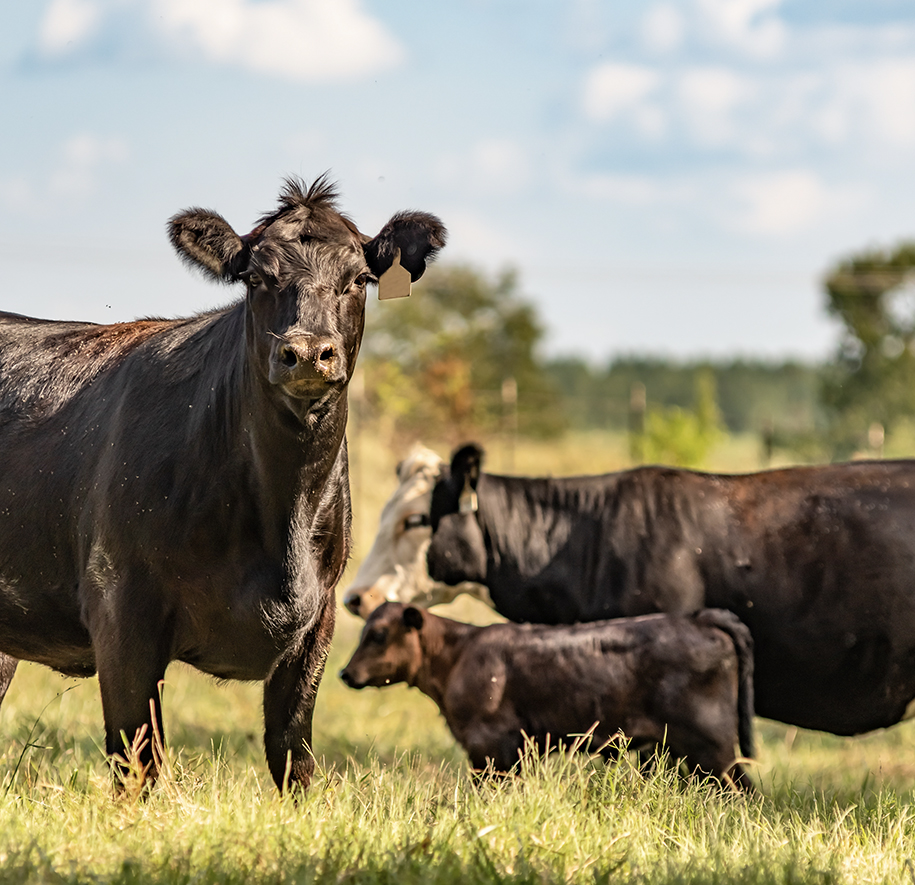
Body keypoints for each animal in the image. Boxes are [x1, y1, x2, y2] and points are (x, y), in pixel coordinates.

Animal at [0, 176, 448, 792]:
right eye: (256, 278)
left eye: (359, 278)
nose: (307, 352)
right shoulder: (120, 609)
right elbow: (138, 762)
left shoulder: (318, 621)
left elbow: (294, 759)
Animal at [340, 600, 756, 788]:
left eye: (378, 635)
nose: (345, 673)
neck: (458, 653)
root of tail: (698, 617)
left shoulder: (491, 746)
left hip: (712, 747)